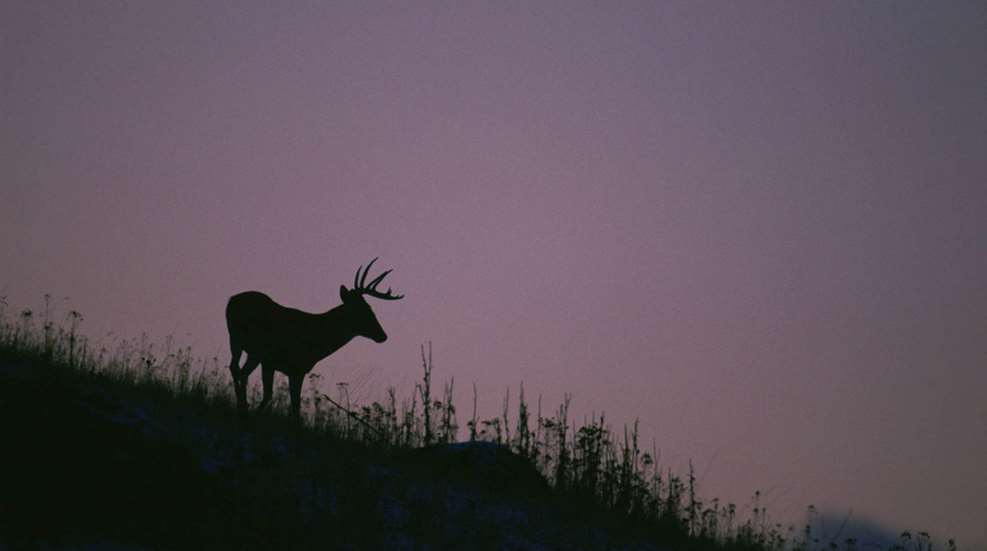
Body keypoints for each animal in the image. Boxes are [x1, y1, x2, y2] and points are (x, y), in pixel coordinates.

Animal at [226, 258, 403, 420]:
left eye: (370, 308)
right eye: (364, 309)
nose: (383, 335)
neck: (317, 340)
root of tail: (231, 300)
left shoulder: (288, 367)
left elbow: (286, 401)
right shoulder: (282, 363)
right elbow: (282, 399)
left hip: (241, 343)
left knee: (236, 369)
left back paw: (242, 406)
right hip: (247, 343)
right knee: (239, 371)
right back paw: (242, 406)